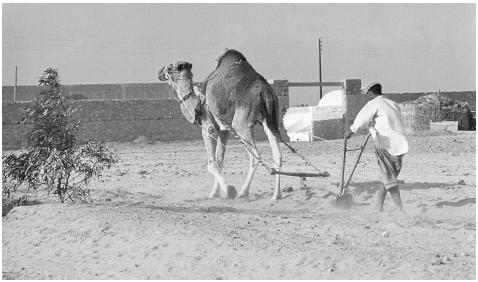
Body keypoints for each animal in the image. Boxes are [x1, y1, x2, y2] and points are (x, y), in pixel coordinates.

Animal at [159, 50, 282, 200]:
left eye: (171, 66)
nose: (159, 72)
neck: (197, 103)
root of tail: (265, 90)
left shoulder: (209, 127)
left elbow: (211, 164)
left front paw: (229, 190)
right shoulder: (224, 130)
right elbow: (219, 161)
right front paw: (215, 193)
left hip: (241, 124)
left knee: (255, 156)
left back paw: (243, 192)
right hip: (271, 119)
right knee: (277, 154)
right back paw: (276, 194)